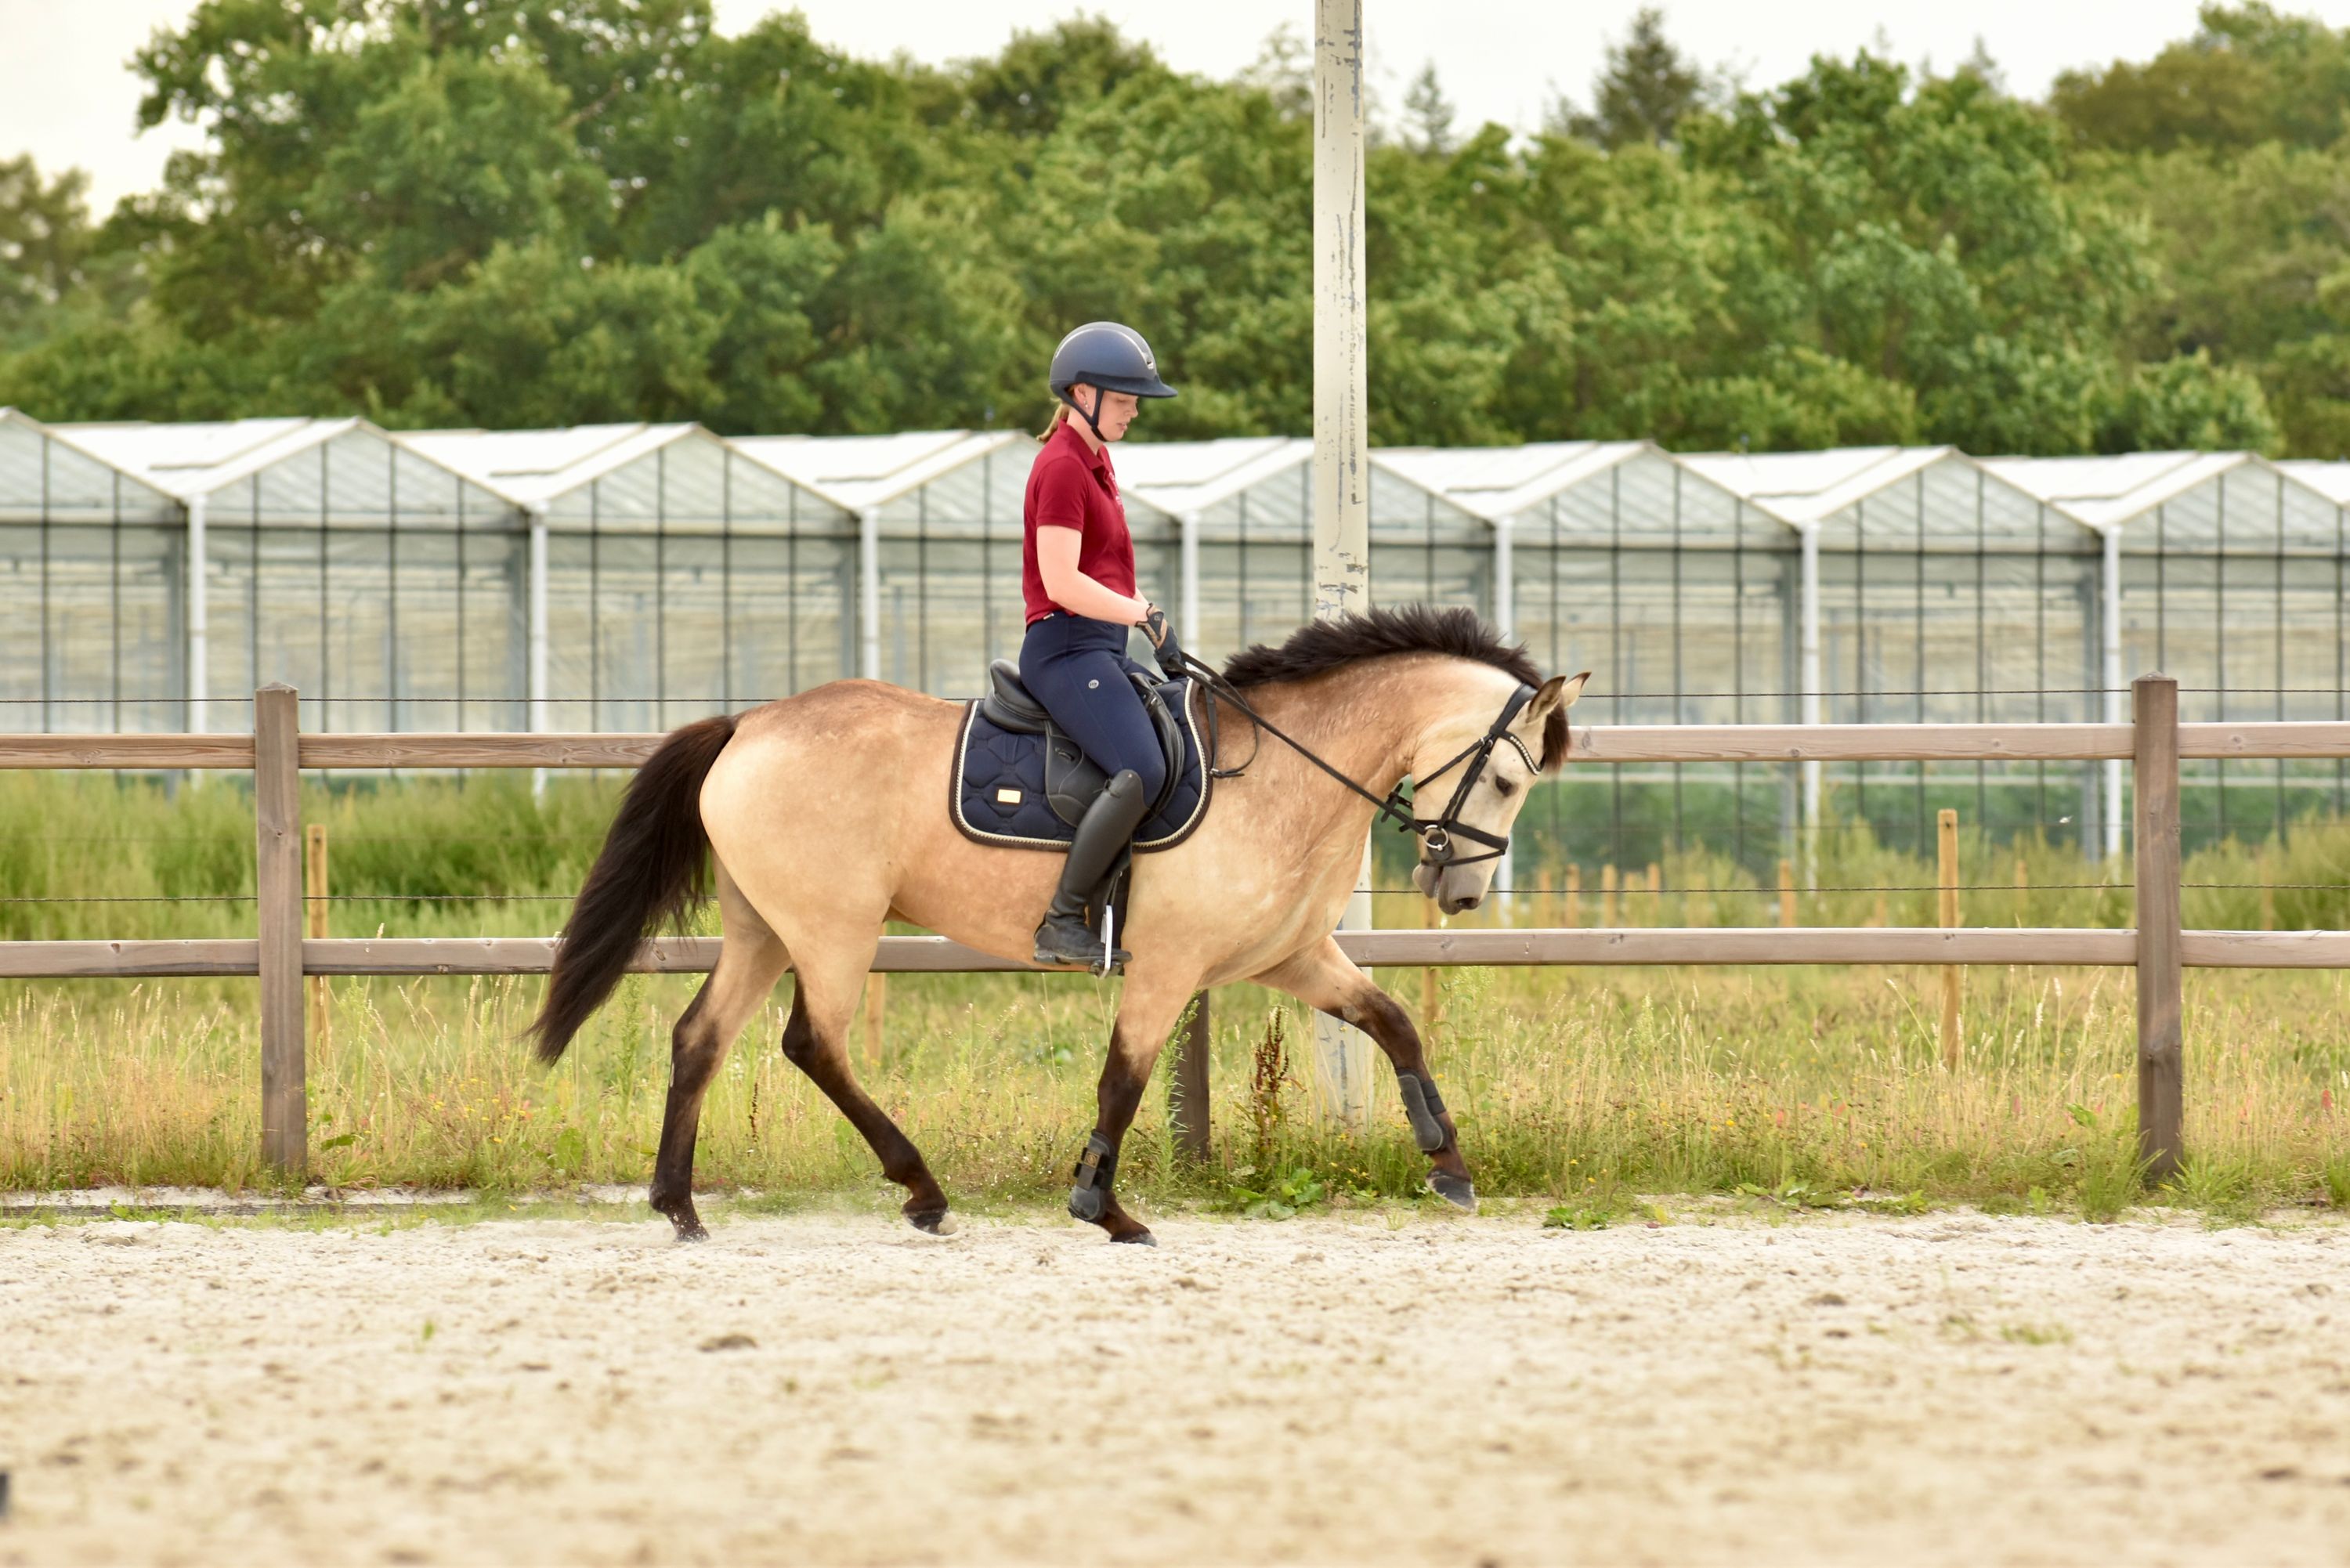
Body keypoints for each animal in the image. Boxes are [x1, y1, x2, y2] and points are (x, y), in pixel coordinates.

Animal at [528, 605, 1588, 1246]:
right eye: (1505, 777)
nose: (1459, 892)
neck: (1286, 771)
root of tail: (748, 724)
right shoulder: (1168, 964)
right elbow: (1124, 1075)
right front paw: (1103, 1206)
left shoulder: (1292, 957)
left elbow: (1394, 1022)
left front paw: (1449, 1164)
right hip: (833, 930)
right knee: (813, 1044)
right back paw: (921, 1189)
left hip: (765, 928)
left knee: (700, 1039)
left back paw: (680, 1206)